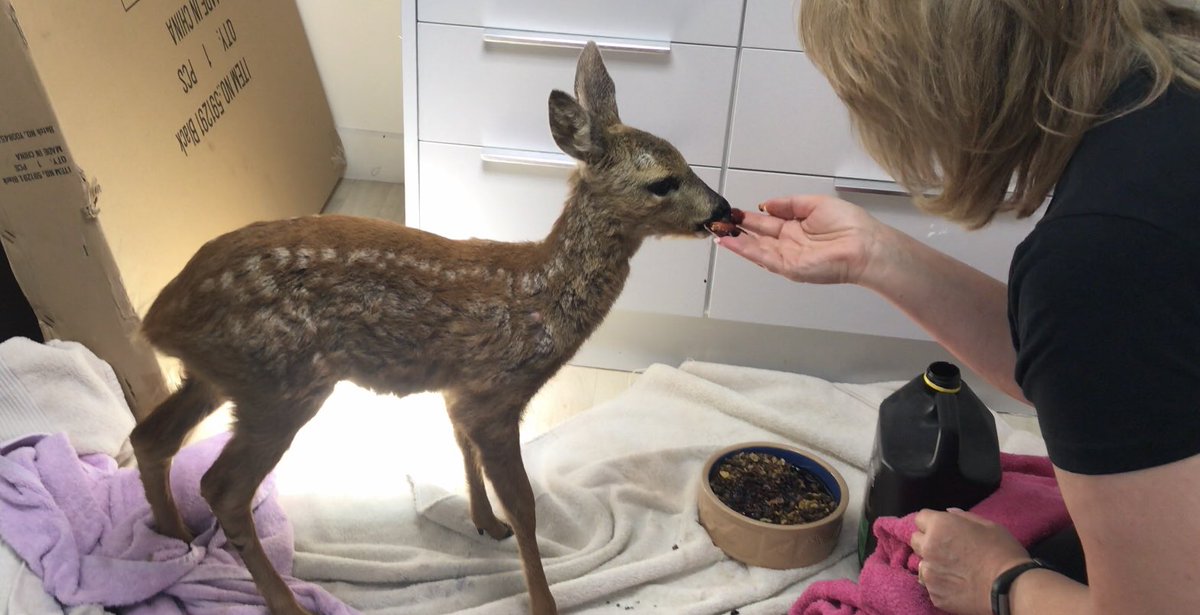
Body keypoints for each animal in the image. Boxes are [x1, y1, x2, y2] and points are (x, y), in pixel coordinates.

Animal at [129, 42, 737, 615]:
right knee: (222, 488)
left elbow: (464, 451)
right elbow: (525, 504)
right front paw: (543, 600)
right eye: (663, 182)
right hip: (280, 386)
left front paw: (485, 523)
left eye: (688, 162)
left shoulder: (459, 388)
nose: (724, 209)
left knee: (150, 438)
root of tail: (159, 318)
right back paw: (285, 601)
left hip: (220, 378)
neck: (538, 295)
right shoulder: (496, 394)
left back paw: (176, 539)